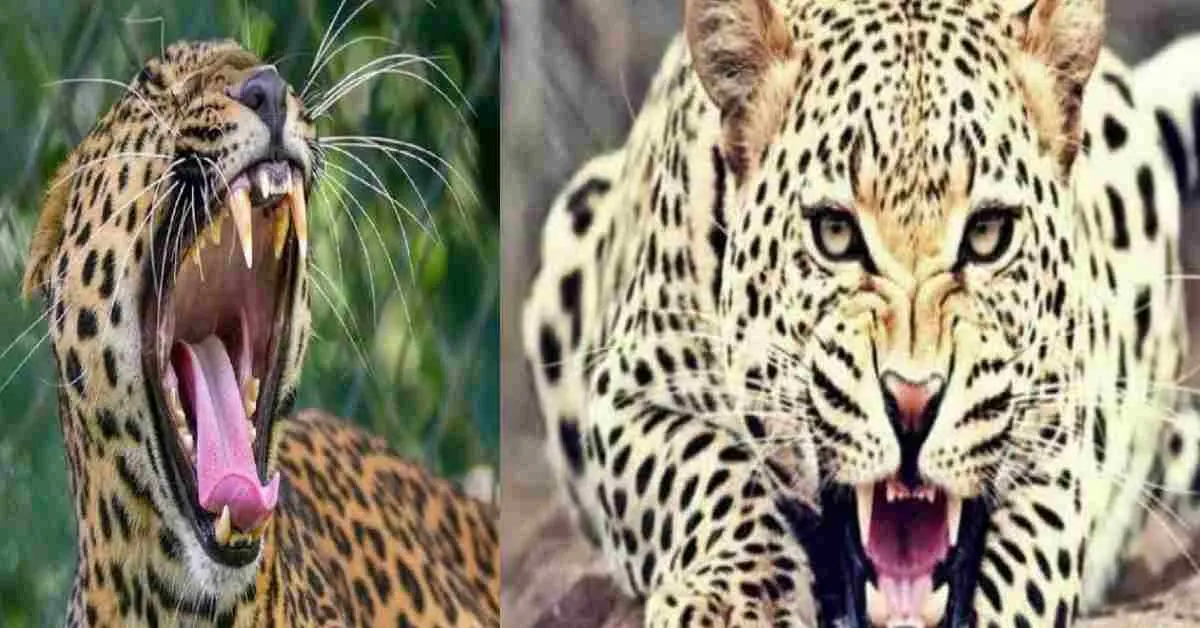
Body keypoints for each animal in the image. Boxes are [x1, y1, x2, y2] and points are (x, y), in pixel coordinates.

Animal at [523, 0, 1200, 626]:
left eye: (988, 235)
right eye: (834, 234)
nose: (913, 402)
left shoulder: (1060, 447)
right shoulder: (628, 394)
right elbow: (708, 472)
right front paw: (737, 603)